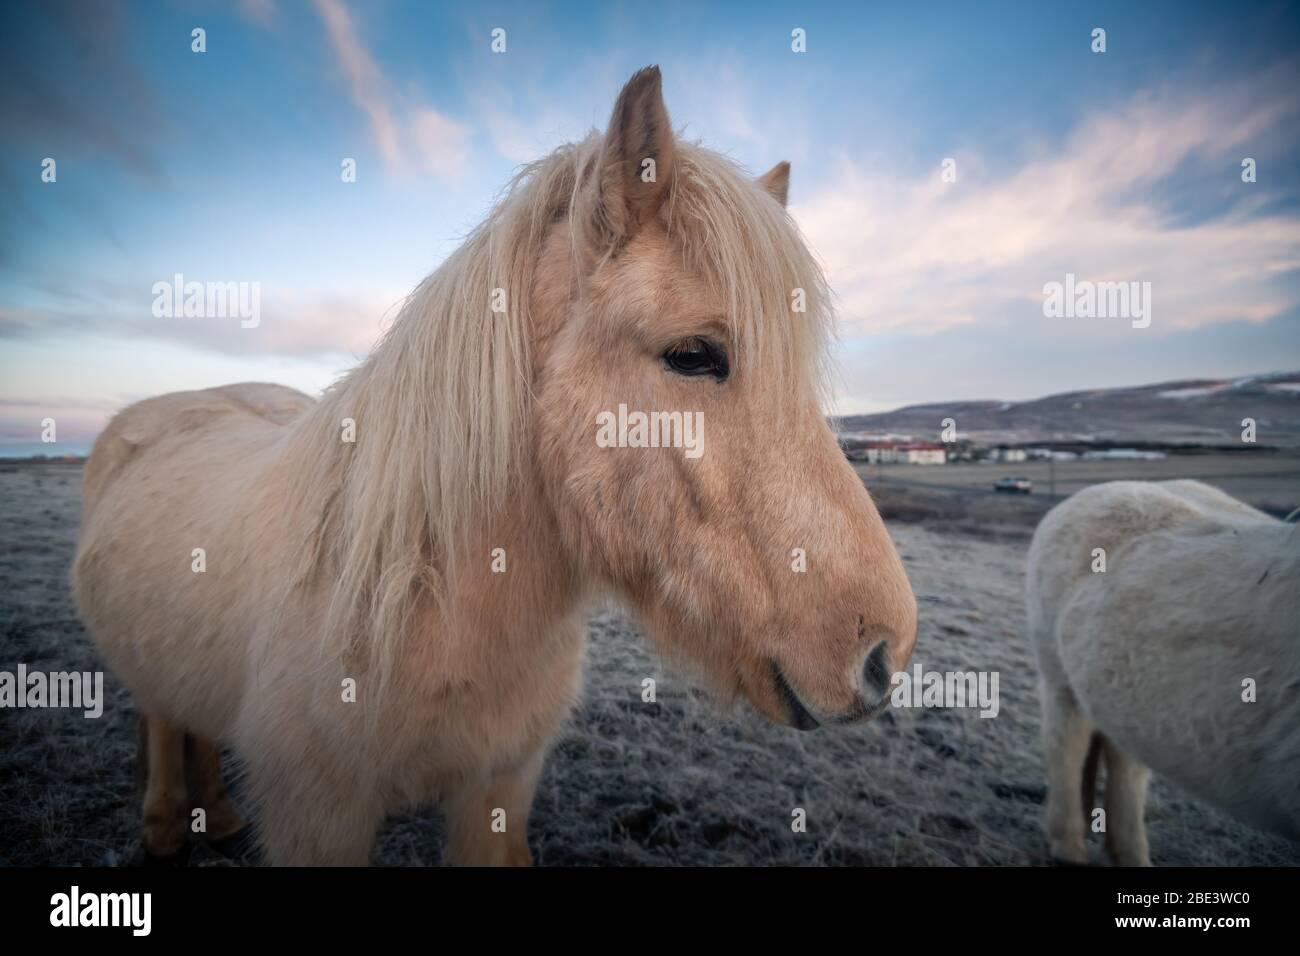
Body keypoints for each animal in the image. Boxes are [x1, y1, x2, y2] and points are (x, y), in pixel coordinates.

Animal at [71, 66, 918, 866]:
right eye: (693, 354)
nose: (886, 653)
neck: (417, 599)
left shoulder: (501, 785)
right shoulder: (318, 814)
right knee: (162, 720)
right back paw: (167, 826)